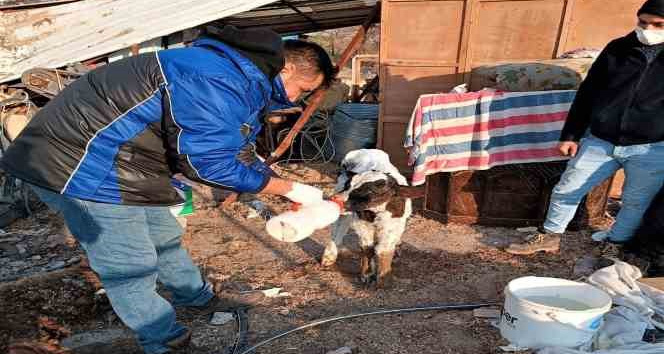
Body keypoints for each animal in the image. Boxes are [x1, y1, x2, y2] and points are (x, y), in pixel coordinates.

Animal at [320, 149, 418, 288]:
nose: (336, 199)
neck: (375, 213)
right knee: (338, 228)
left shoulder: (392, 226)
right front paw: (366, 275)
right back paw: (329, 256)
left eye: (371, 191)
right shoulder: (362, 225)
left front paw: (383, 277)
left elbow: (384, 250)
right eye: (348, 185)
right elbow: (368, 249)